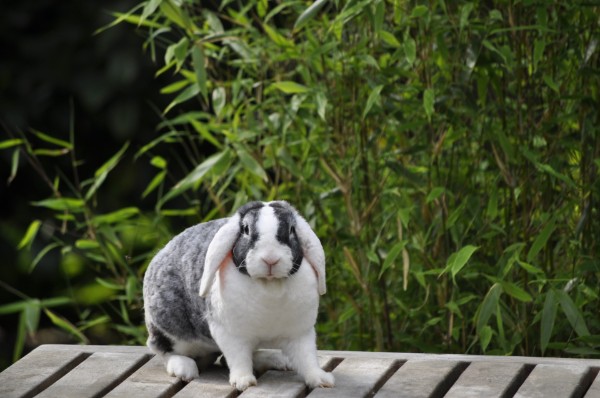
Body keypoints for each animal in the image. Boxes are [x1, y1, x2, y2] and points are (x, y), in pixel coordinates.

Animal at [143, 201, 336, 390]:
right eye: (246, 230)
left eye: (291, 230)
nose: (270, 259)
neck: (269, 283)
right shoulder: (230, 334)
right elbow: (238, 358)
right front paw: (244, 381)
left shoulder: (300, 333)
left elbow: (307, 359)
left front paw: (322, 380)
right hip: (169, 329)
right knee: (162, 349)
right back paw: (184, 368)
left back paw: (277, 360)